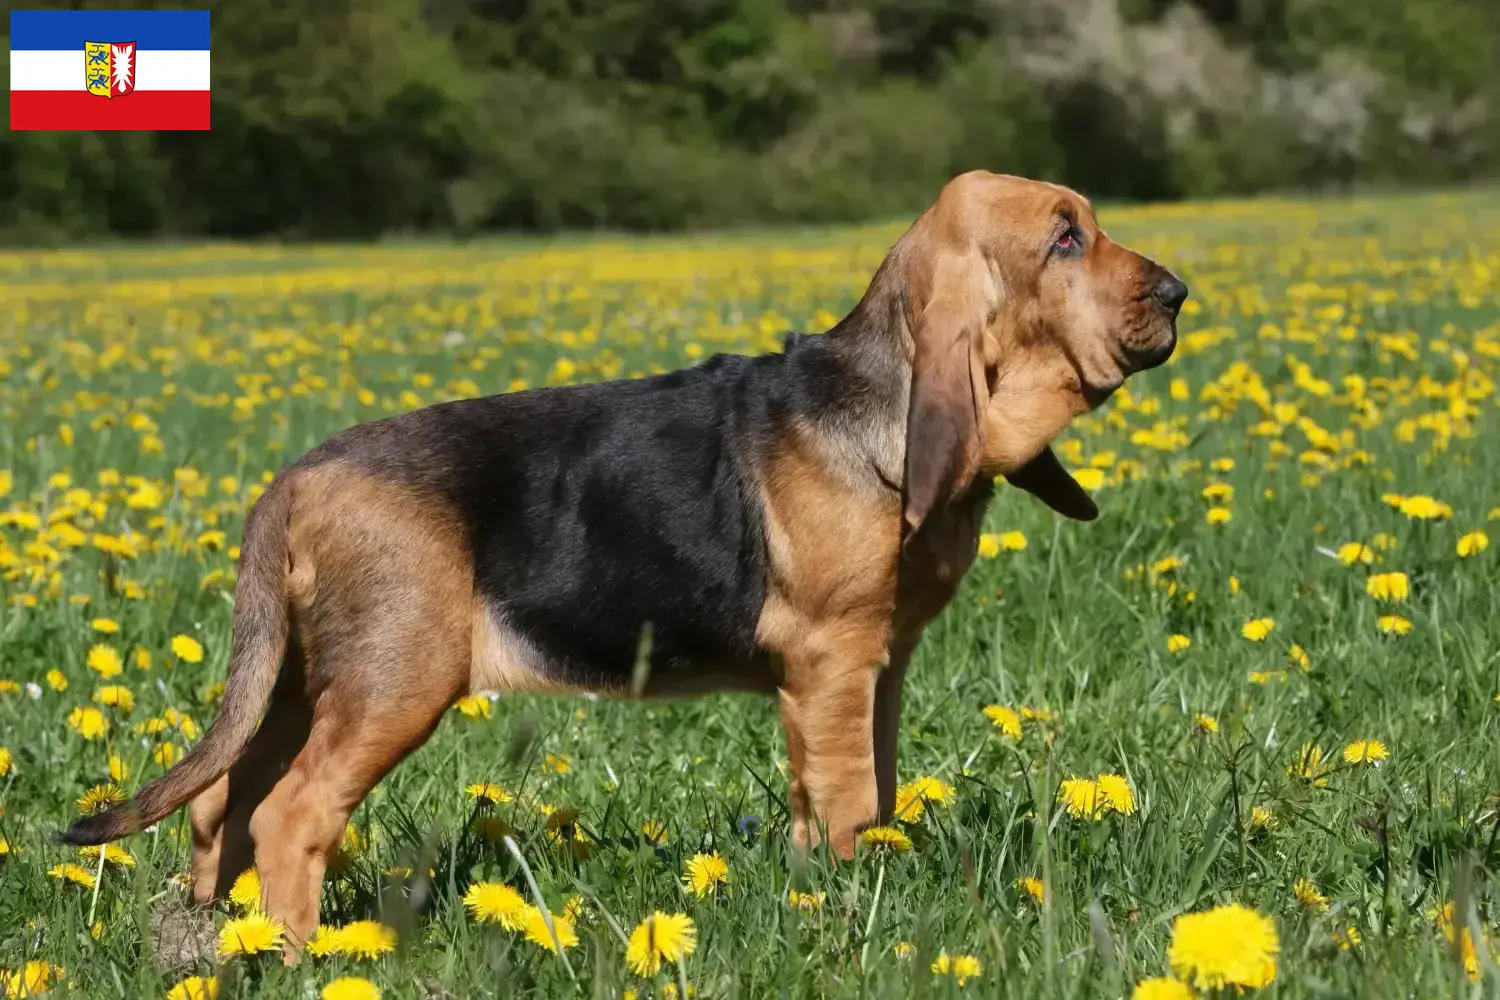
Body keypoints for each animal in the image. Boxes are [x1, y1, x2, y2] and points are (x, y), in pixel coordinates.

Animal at [64, 170, 1182, 947]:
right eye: (1065, 237)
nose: (1177, 291)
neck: (880, 405)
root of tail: (290, 481)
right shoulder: (833, 665)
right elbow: (849, 801)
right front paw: (850, 905)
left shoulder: (876, 670)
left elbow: (856, 794)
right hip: (392, 681)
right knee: (292, 813)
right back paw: (302, 956)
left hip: (304, 680)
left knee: (227, 801)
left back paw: (220, 938)